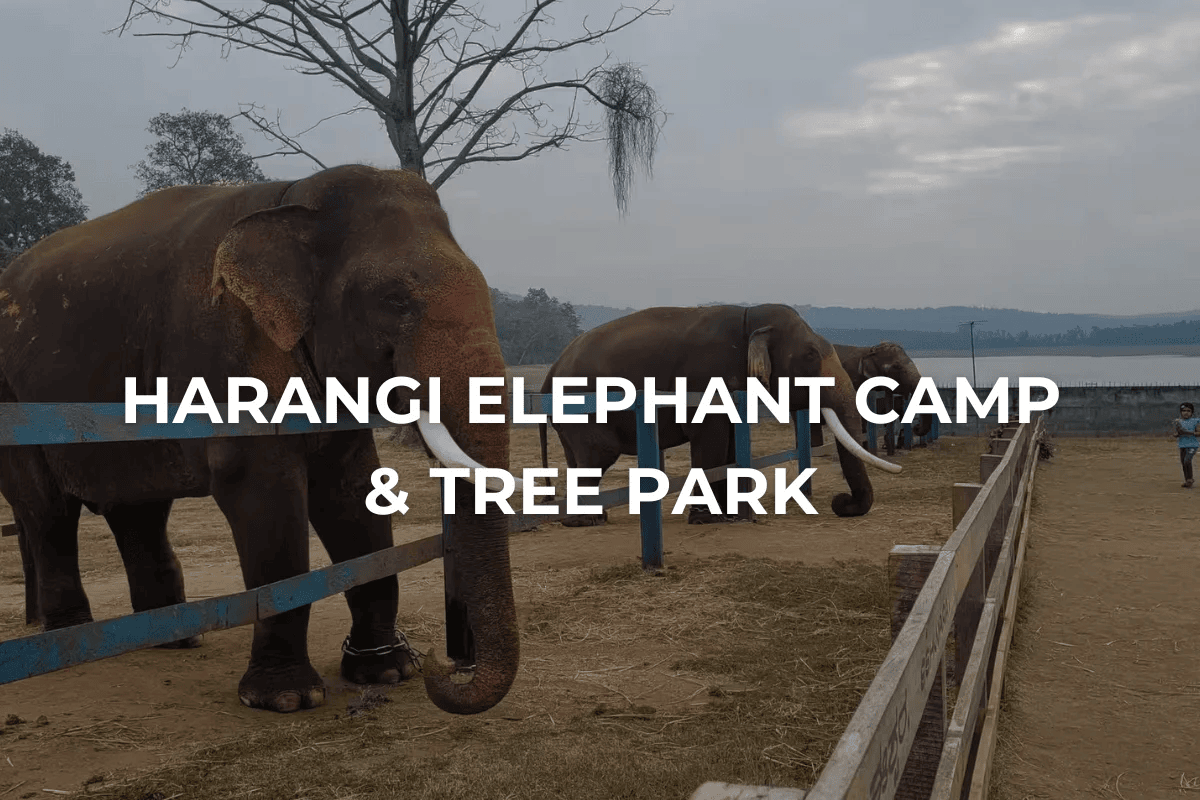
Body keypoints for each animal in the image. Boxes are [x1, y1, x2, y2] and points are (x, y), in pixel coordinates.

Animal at [0, 164, 520, 716]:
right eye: (395, 300)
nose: (446, 663)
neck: (296, 199)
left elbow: (352, 493)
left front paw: (387, 670)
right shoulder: (224, 354)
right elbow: (266, 496)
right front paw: (286, 698)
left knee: (137, 509)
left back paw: (175, 639)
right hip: (11, 399)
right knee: (48, 512)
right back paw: (68, 644)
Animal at [536, 303, 901, 526]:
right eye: (810, 356)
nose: (842, 503)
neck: (751, 317)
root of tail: (550, 370)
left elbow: (728, 445)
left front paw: (728, 515)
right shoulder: (706, 377)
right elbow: (710, 441)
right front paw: (707, 518)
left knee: (580, 458)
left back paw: (591, 519)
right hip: (580, 407)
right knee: (598, 455)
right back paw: (584, 522)